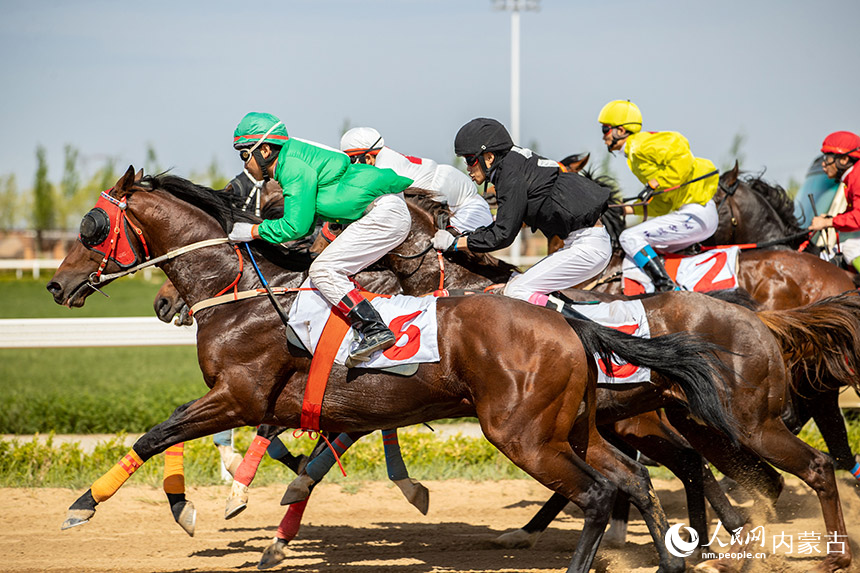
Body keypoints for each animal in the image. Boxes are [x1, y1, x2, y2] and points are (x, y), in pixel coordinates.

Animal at [45, 166, 740, 572]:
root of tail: (570, 322)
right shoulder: (282, 403)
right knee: (634, 478)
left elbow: (161, 430)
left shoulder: (240, 395)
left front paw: (85, 505)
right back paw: (677, 556)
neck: (243, 292)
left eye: (92, 226)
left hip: (527, 434)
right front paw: (222, 510)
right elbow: (231, 445)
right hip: (576, 428)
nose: (56, 285)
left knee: (609, 490)